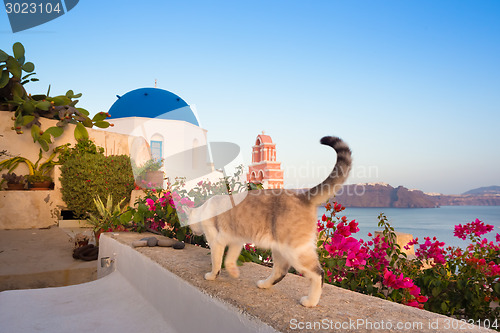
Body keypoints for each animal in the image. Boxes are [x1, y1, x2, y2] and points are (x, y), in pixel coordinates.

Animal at [188, 136, 352, 308]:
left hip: (295, 250)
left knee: (318, 273)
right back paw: (264, 284)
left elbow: (217, 262)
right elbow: (230, 259)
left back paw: (310, 301)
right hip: (279, 248)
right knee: (281, 271)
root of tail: (302, 196)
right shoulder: (236, 241)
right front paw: (233, 272)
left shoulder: (217, 242)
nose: (193, 232)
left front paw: (212, 275)